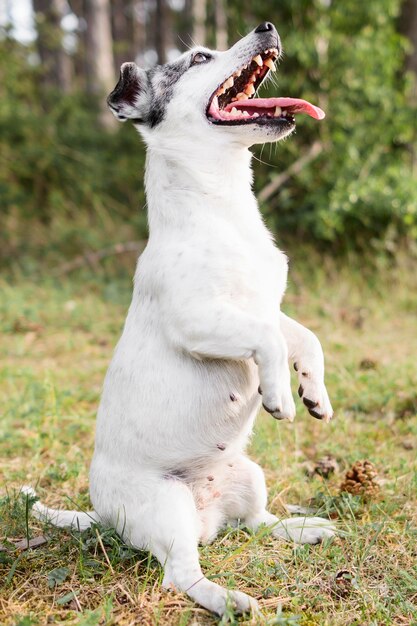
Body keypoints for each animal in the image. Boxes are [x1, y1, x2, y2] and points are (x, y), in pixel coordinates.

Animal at [26, 23, 334, 616]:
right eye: (198, 58)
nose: (266, 27)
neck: (222, 204)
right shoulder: (201, 322)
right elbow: (267, 340)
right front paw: (279, 394)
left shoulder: (266, 305)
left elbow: (304, 337)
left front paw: (314, 392)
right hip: (168, 508)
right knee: (180, 575)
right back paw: (228, 599)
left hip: (250, 477)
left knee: (257, 524)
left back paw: (304, 528)